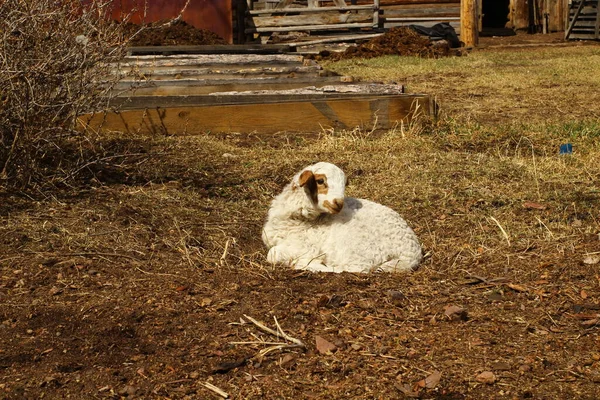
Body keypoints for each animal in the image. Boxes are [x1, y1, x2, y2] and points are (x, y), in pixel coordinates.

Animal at [262, 162, 422, 272]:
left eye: (344, 185)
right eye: (320, 181)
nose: (339, 203)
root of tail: (412, 252)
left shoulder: (305, 246)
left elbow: (272, 254)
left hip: (357, 247)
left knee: (353, 268)